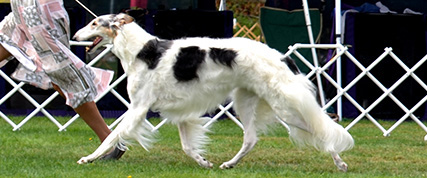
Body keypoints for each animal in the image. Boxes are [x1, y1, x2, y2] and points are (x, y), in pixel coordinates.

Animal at [73, 13, 354, 172]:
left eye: (94, 22)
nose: (75, 33)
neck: (142, 51)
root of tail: (282, 56)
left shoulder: (138, 108)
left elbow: (112, 136)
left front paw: (89, 158)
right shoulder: (180, 111)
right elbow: (187, 147)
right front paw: (203, 162)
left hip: (285, 108)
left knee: (321, 130)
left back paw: (340, 163)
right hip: (245, 102)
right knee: (250, 139)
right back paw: (230, 164)